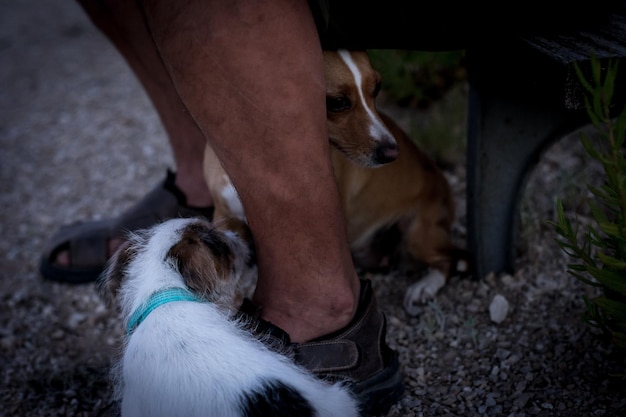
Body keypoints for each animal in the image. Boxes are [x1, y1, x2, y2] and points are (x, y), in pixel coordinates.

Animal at [202, 48, 466, 314]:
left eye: (377, 88)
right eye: (337, 102)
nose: (392, 153)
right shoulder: (224, 216)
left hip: (417, 236)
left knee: (450, 259)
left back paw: (424, 287)